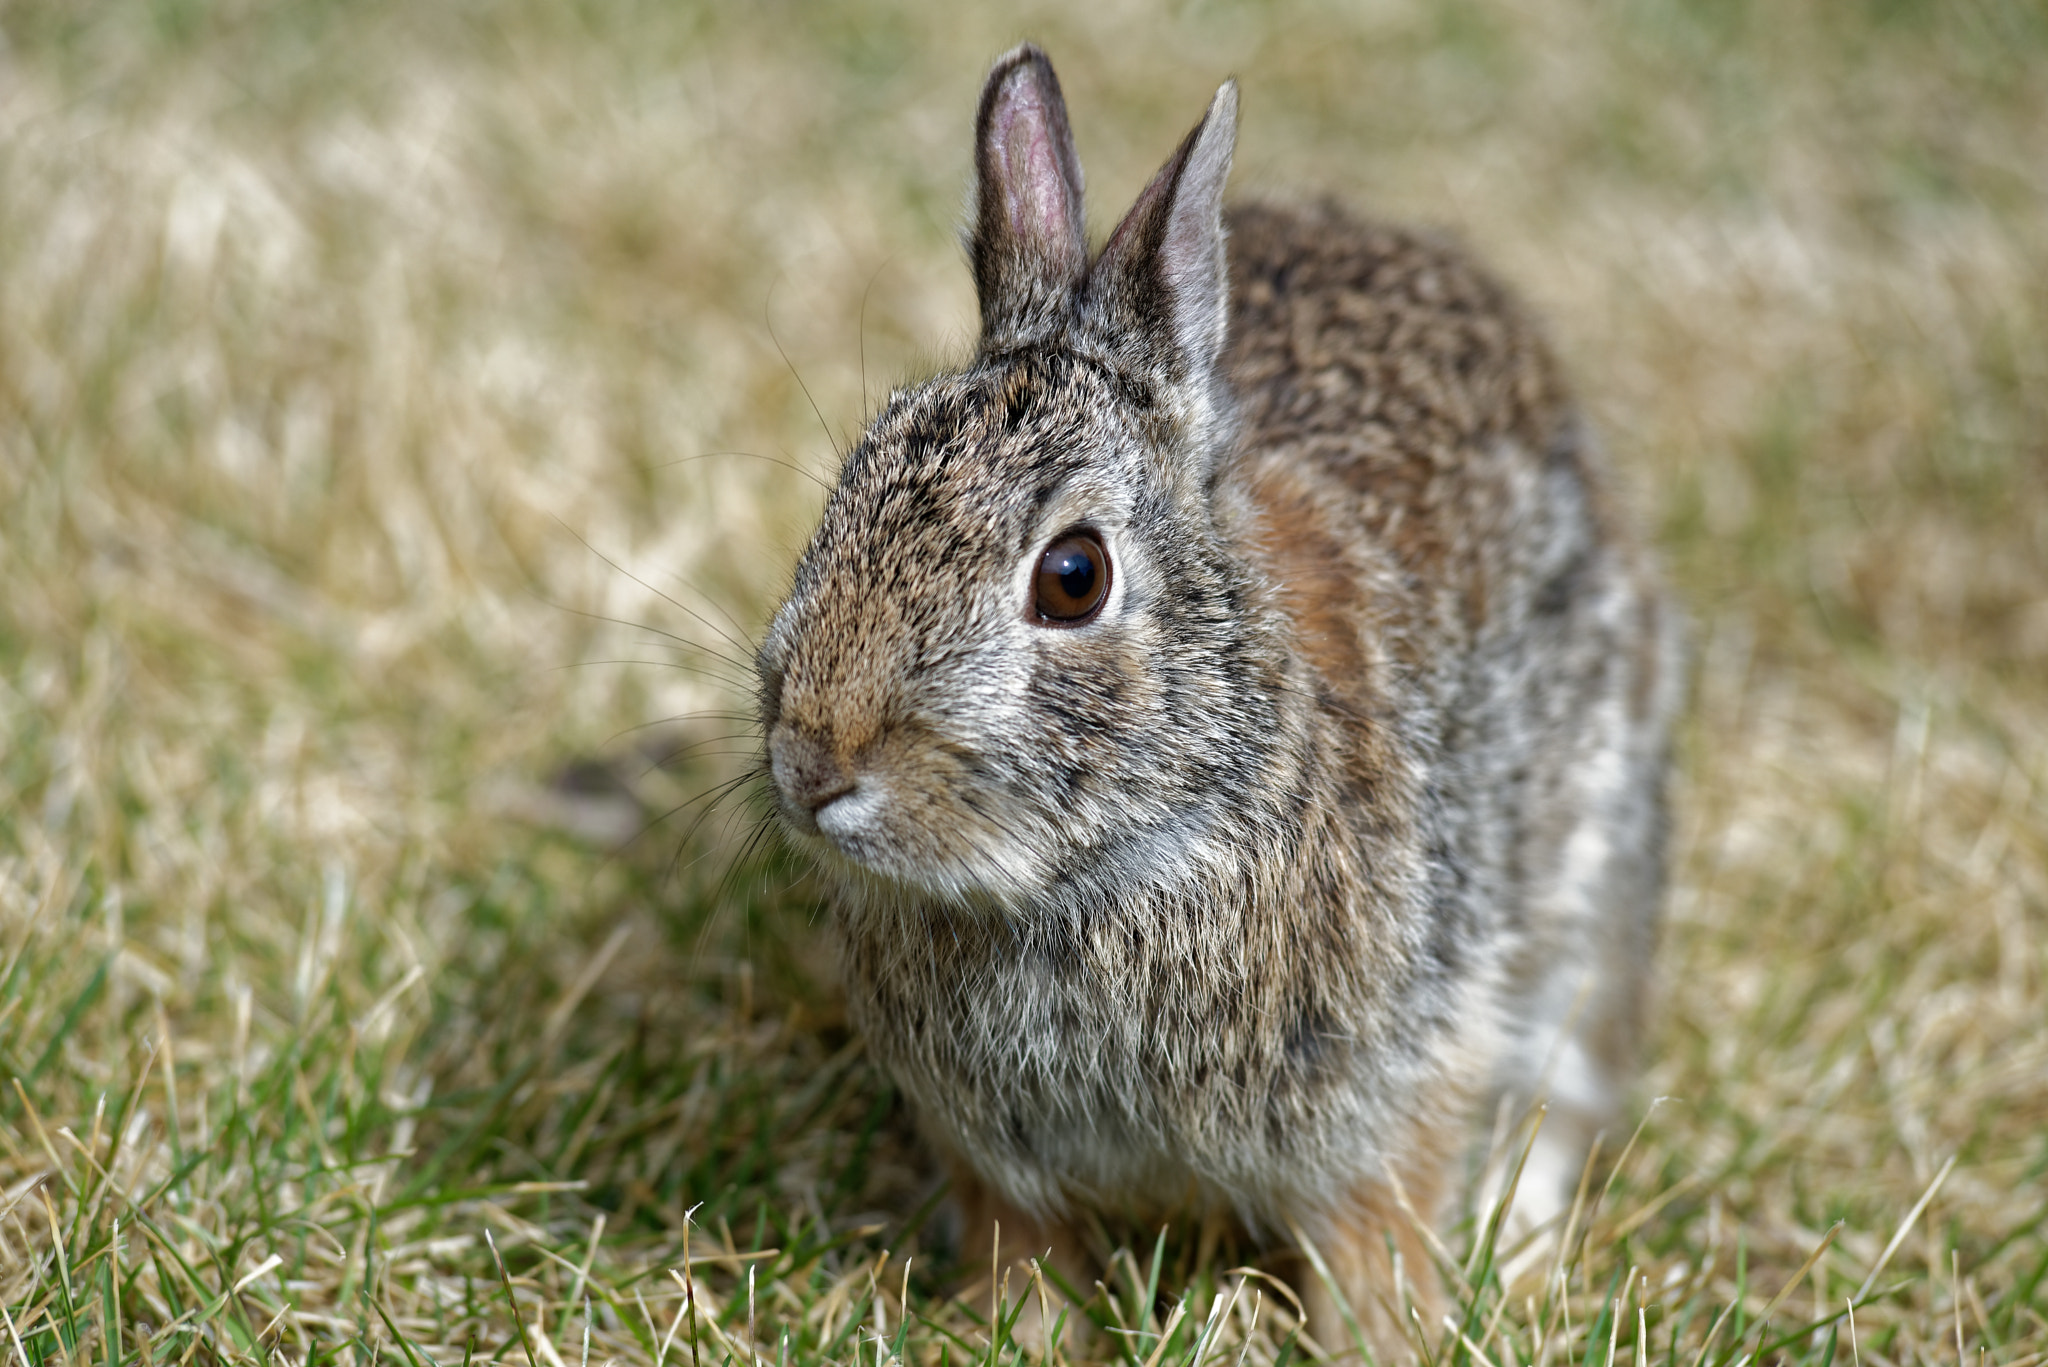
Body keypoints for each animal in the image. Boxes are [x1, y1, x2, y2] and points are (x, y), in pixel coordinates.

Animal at [753, 40, 1679, 1360]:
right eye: (846, 491)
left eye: (1072, 577)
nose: (813, 764)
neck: (1101, 870)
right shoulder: (996, 1158)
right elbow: (1024, 1257)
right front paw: (1016, 1334)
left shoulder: (1391, 1085)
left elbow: (1377, 1237)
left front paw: (1385, 1337)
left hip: (1597, 891)